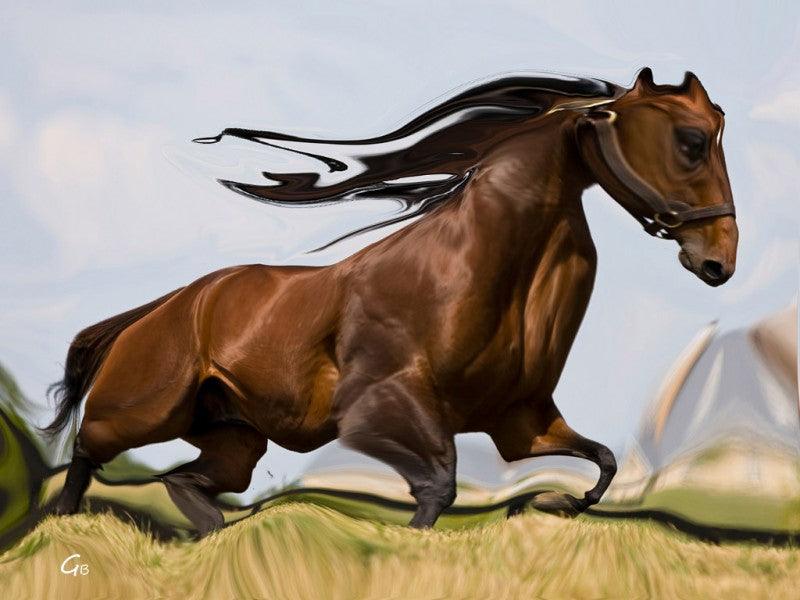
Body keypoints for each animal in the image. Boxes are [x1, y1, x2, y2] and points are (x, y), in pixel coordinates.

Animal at [44, 68, 737, 534]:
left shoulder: (523, 419)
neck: (480, 266)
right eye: (691, 140)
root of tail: (161, 308)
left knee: (183, 481)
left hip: (234, 440)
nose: (720, 261)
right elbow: (437, 489)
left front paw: (562, 503)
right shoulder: (380, 408)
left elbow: (603, 461)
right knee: (86, 452)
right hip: (141, 410)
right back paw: (56, 526)